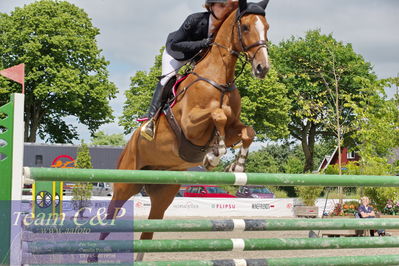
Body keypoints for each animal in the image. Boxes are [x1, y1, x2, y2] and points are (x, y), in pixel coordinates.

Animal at [88, 0, 272, 262]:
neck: (219, 79)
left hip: (163, 193)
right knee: (110, 217)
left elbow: (248, 131)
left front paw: (235, 167)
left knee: (148, 231)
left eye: (266, 27)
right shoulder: (189, 125)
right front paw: (214, 155)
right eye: (245, 27)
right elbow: (217, 115)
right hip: (125, 184)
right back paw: (93, 255)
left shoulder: (234, 127)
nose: (262, 67)